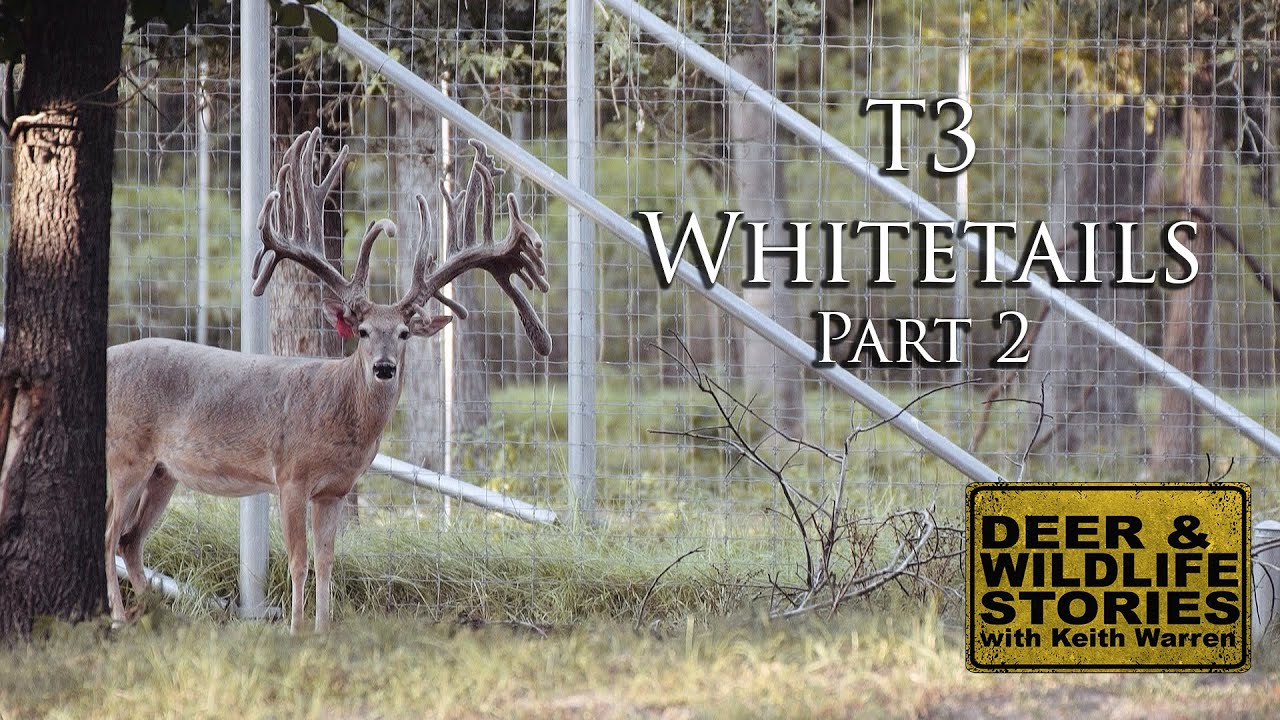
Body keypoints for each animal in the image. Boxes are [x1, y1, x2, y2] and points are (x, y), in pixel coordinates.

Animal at [105, 128, 552, 633]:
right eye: (362, 331)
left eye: (404, 333)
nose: (384, 367)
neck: (340, 416)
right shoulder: (290, 476)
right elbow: (297, 561)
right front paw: (296, 629)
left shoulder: (335, 490)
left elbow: (327, 561)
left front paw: (322, 629)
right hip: (126, 454)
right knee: (109, 534)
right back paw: (118, 617)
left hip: (163, 471)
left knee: (131, 539)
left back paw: (157, 616)